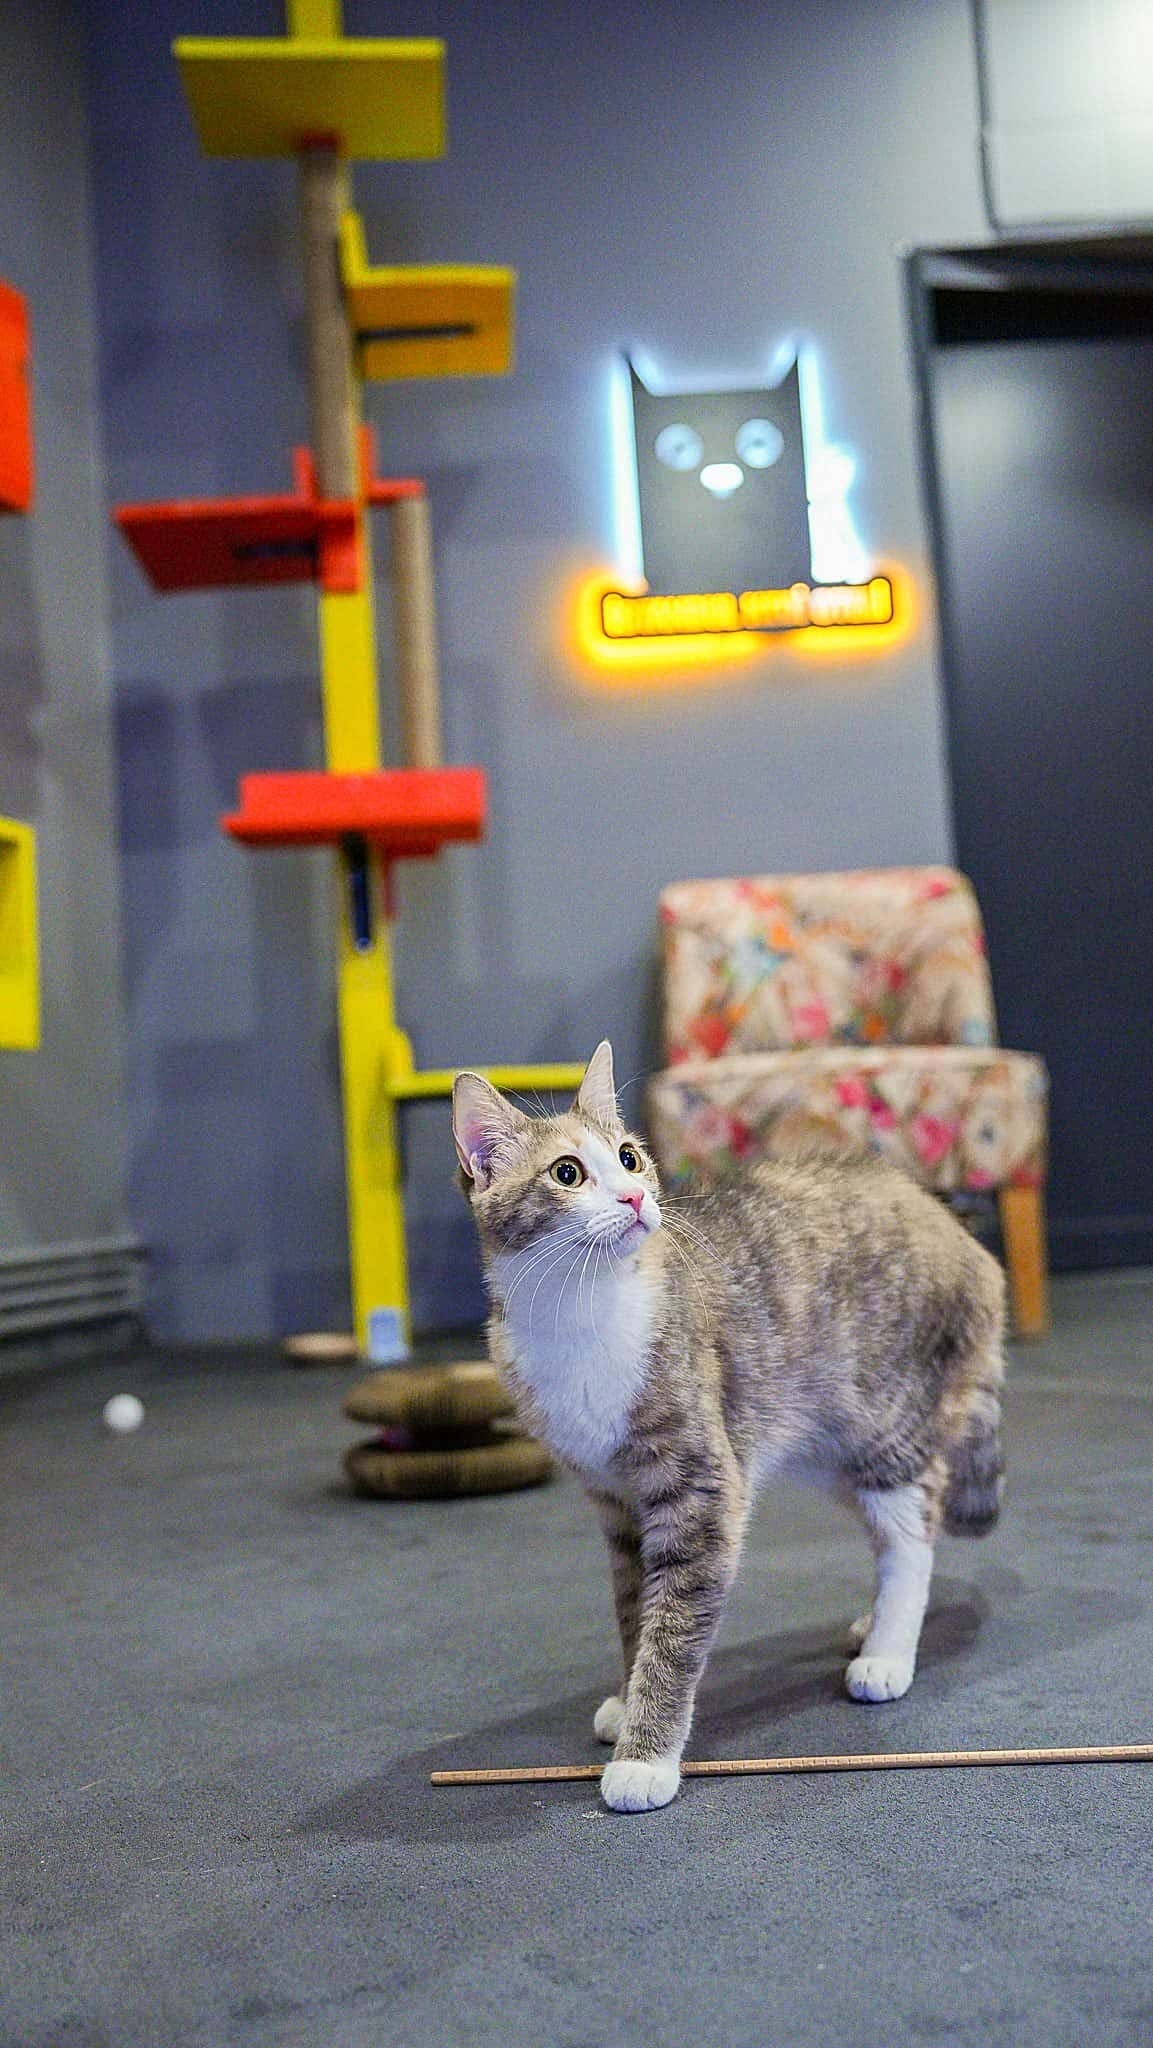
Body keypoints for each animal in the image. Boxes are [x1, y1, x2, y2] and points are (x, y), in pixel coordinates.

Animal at [452, 1041, 1006, 1814]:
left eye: (629, 1157)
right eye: (567, 1173)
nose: (634, 1199)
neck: (580, 1310)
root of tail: (954, 1228)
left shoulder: (701, 1492)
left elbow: (674, 1629)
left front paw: (645, 1756)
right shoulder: (616, 1499)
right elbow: (635, 1609)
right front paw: (628, 1696)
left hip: (882, 1424)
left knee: (911, 1533)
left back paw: (889, 1650)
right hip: (822, 1448)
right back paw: (876, 1627)